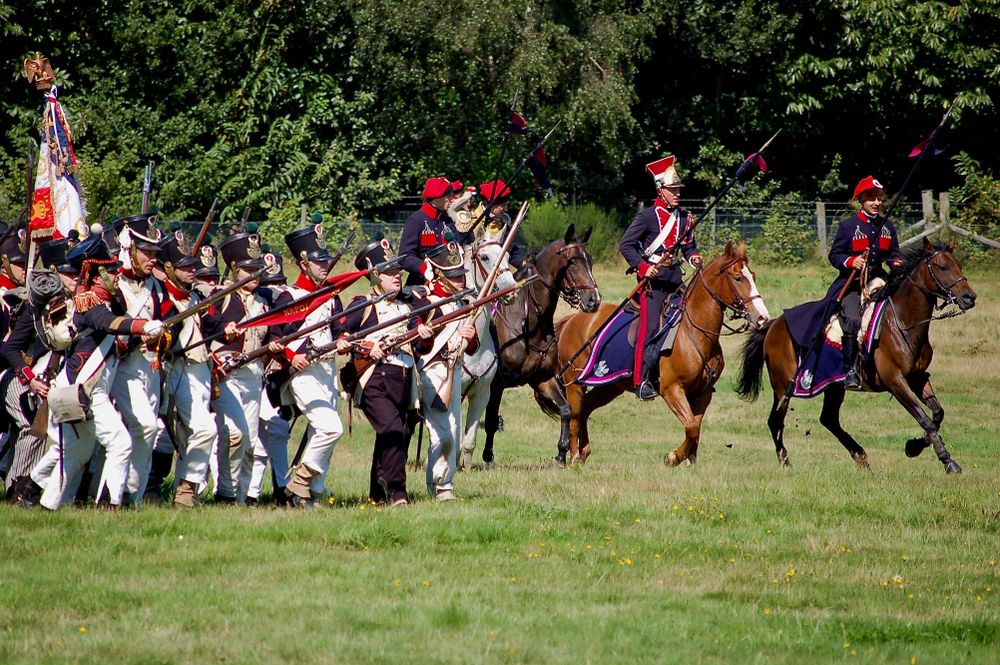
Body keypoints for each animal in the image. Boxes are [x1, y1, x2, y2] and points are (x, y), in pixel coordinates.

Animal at [552, 241, 768, 464]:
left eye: (753, 276)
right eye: (738, 278)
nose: (762, 317)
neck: (694, 331)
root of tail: (572, 320)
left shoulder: (703, 393)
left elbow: (695, 428)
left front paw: (688, 460)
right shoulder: (672, 390)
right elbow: (691, 426)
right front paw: (674, 457)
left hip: (609, 386)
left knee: (585, 409)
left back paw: (584, 452)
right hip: (575, 385)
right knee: (575, 416)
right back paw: (574, 456)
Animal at [736, 239, 976, 472]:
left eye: (958, 266)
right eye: (942, 267)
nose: (969, 297)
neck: (902, 323)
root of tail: (774, 325)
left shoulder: (917, 377)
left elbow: (937, 414)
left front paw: (917, 447)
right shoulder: (896, 382)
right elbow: (924, 418)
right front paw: (944, 459)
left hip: (833, 386)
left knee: (829, 419)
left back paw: (860, 455)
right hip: (782, 387)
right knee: (775, 420)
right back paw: (785, 461)